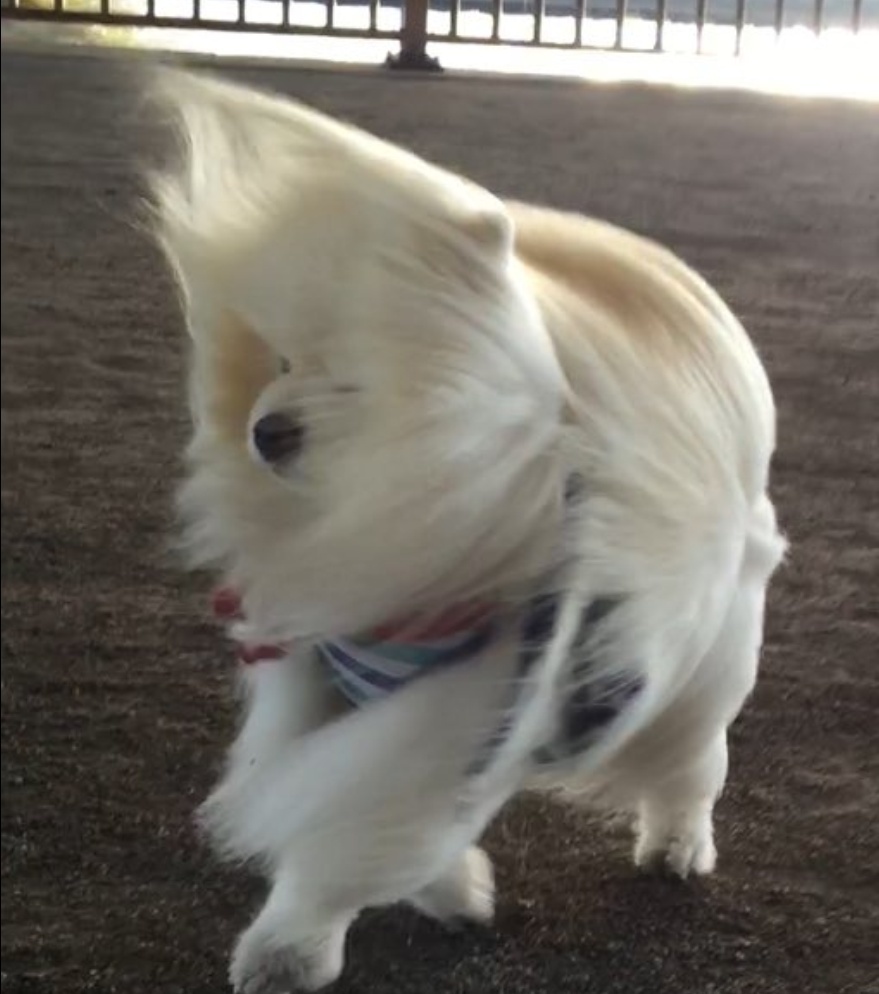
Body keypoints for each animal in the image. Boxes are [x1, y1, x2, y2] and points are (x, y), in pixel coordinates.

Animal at [149, 70, 786, 993]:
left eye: (360, 380)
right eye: (281, 361)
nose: (265, 431)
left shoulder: (469, 708)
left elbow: (354, 841)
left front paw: (287, 953)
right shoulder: (328, 679)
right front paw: (452, 889)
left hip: (701, 672)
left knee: (690, 767)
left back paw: (676, 848)